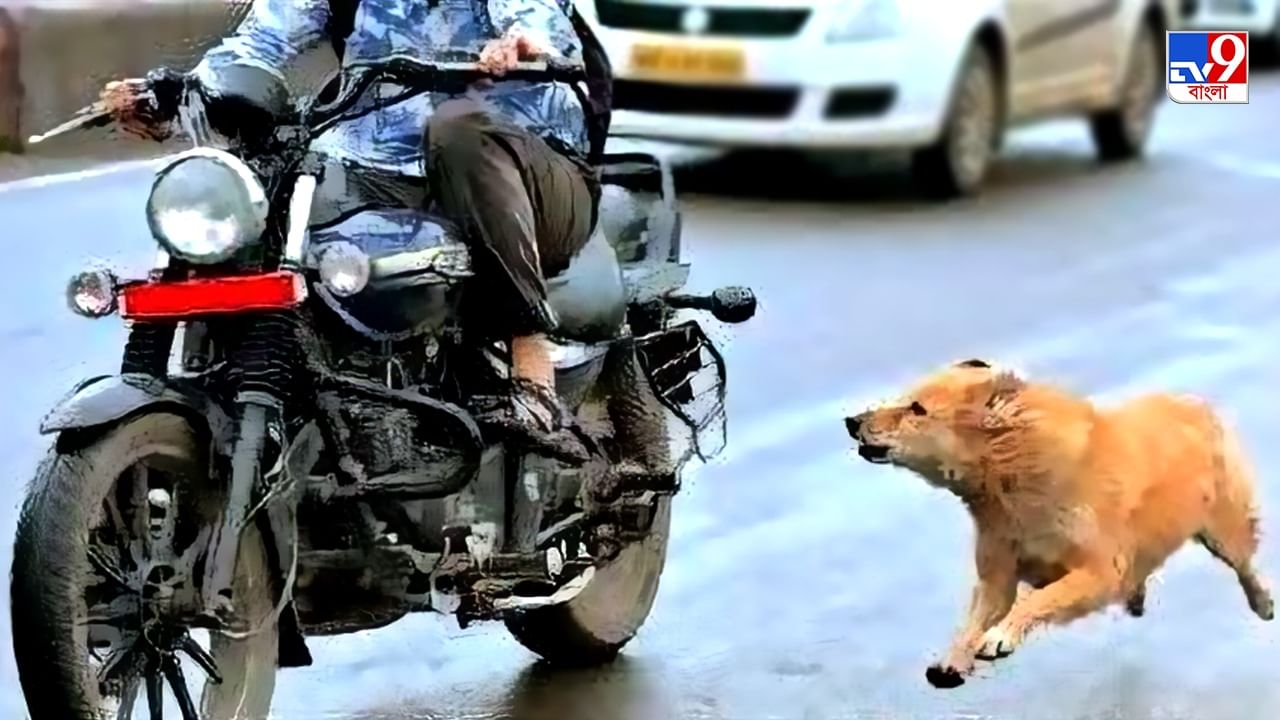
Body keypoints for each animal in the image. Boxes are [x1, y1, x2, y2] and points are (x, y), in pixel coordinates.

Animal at [844, 356, 1274, 681]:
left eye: (917, 409)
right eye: (905, 399)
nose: (851, 422)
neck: (1011, 474)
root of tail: (1193, 402)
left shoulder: (1096, 569)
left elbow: (1042, 598)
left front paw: (1001, 636)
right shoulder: (998, 570)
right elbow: (980, 612)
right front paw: (953, 659)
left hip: (1225, 528)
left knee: (1243, 564)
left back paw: (1263, 603)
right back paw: (1136, 596)